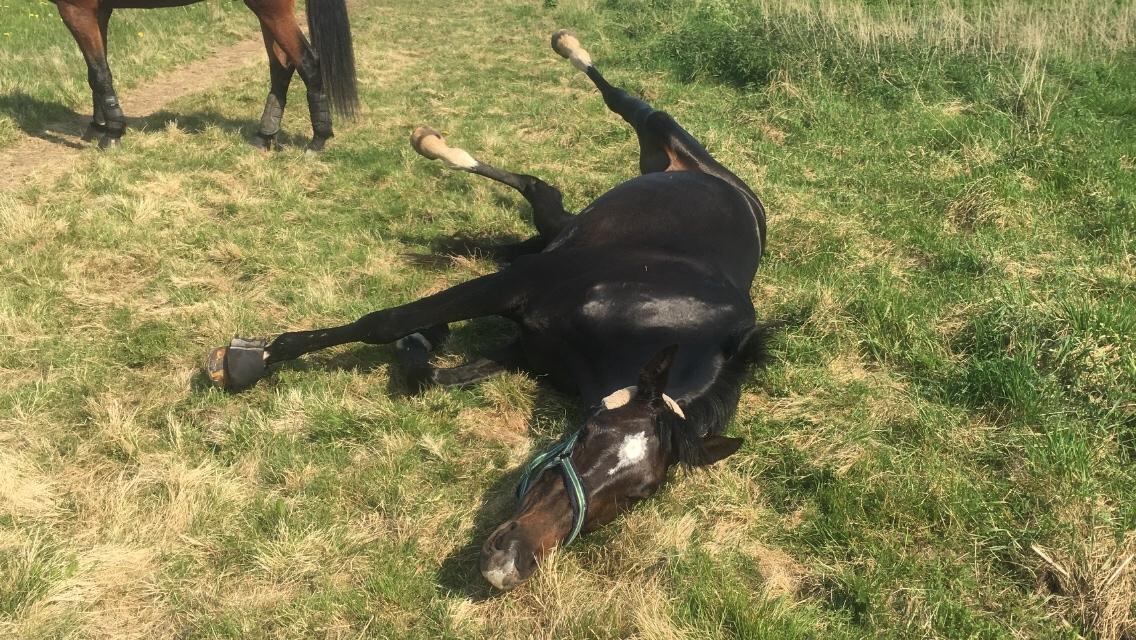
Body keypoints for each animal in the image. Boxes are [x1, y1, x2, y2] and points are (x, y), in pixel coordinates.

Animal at [49, 0, 354, 151]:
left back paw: (318, 141)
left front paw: (112, 134)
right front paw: (98, 125)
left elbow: (99, 72)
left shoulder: (77, 11)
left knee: (308, 62)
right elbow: (97, 72)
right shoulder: (97, 12)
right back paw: (264, 136)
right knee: (281, 66)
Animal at [209, 30, 767, 591]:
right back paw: (530, 73)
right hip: (660, 132)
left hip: (568, 221)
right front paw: (251, 357)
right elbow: (383, 322)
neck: (657, 312)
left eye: (640, 493)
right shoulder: (517, 287)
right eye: (589, 433)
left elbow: (428, 375)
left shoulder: (525, 347)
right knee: (619, 106)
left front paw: (425, 341)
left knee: (541, 194)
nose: (508, 564)